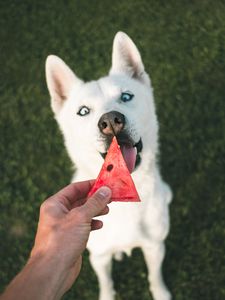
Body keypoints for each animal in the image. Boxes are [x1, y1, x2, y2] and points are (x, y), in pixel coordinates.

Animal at [45, 31, 172, 300]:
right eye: (83, 111)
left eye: (126, 96)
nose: (111, 121)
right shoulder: (99, 257)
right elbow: (106, 283)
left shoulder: (155, 247)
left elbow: (155, 277)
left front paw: (161, 293)